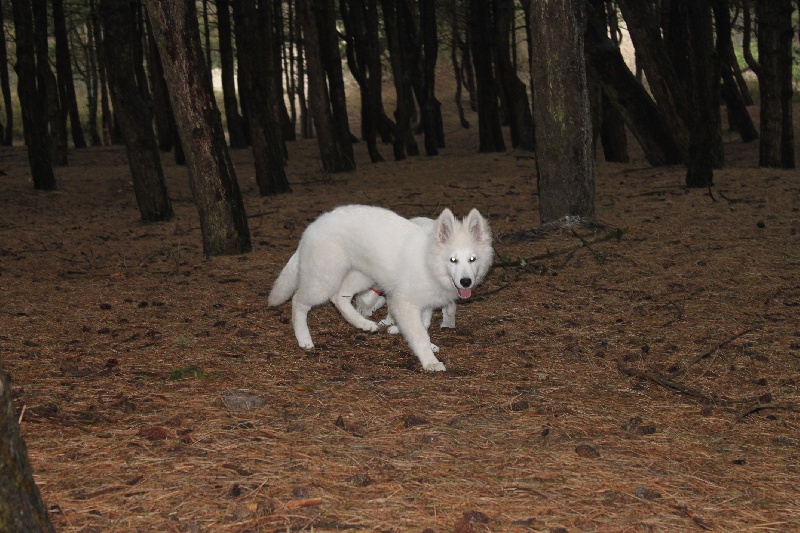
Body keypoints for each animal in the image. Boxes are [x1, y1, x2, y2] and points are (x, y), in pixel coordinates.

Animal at [270, 204, 494, 370]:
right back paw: (304, 338)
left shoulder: (425, 304)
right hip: (324, 279)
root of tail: (314, 225)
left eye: (472, 259)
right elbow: (420, 333)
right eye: (453, 260)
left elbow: (424, 324)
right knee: (299, 301)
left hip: (364, 276)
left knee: (340, 297)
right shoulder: (404, 303)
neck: (430, 262)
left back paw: (363, 324)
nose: (466, 282)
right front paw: (430, 361)